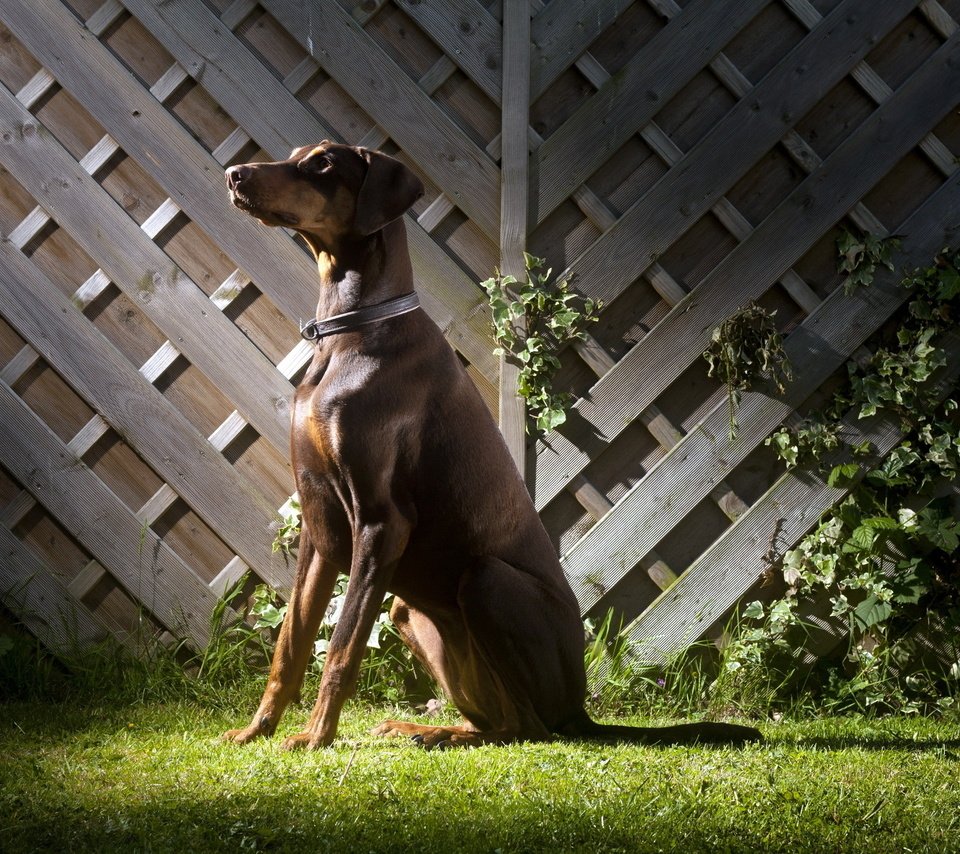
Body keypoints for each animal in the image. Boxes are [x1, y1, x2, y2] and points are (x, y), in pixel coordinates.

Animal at [221, 144, 760, 752]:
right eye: (295, 157)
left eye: (322, 165)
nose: (234, 175)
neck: (349, 332)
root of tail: (580, 709)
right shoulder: (319, 526)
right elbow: (289, 646)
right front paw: (256, 730)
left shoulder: (383, 522)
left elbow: (341, 647)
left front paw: (314, 738)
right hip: (410, 612)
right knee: (498, 720)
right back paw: (424, 727)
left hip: (485, 581)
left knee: (529, 728)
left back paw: (440, 734)